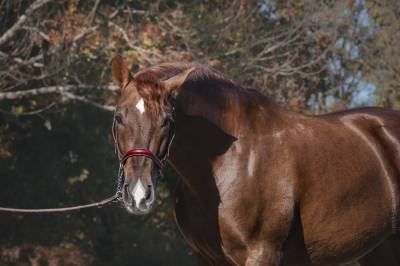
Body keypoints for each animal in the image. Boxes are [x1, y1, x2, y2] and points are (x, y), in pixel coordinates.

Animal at [110, 55, 400, 264]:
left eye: (168, 121)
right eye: (118, 116)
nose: (138, 194)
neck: (228, 163)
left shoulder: (262, 253)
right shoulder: (206, 258)